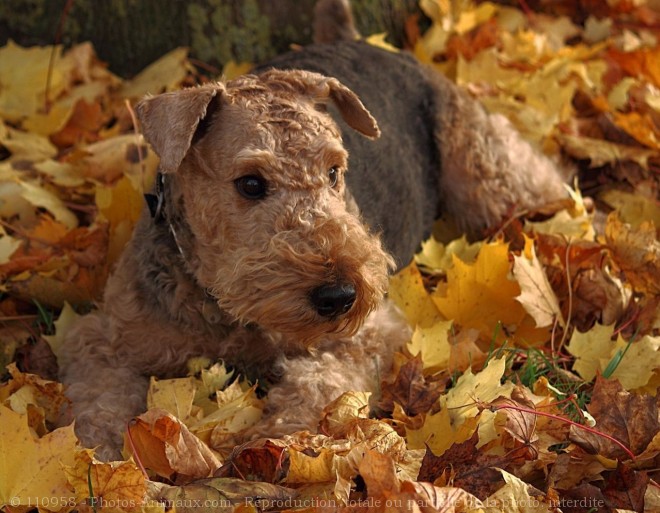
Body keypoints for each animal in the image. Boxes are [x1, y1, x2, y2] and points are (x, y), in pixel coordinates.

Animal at [58, 0, 568, 458]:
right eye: (250, 183)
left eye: (334, 172)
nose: (339, 295)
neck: (225, 309)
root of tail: (362, 42)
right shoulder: (106, 338)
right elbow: (99, 405)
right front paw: (102, 458)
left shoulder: (364, 335)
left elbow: (318, 385)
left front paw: (274, 439)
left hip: (488, 173)